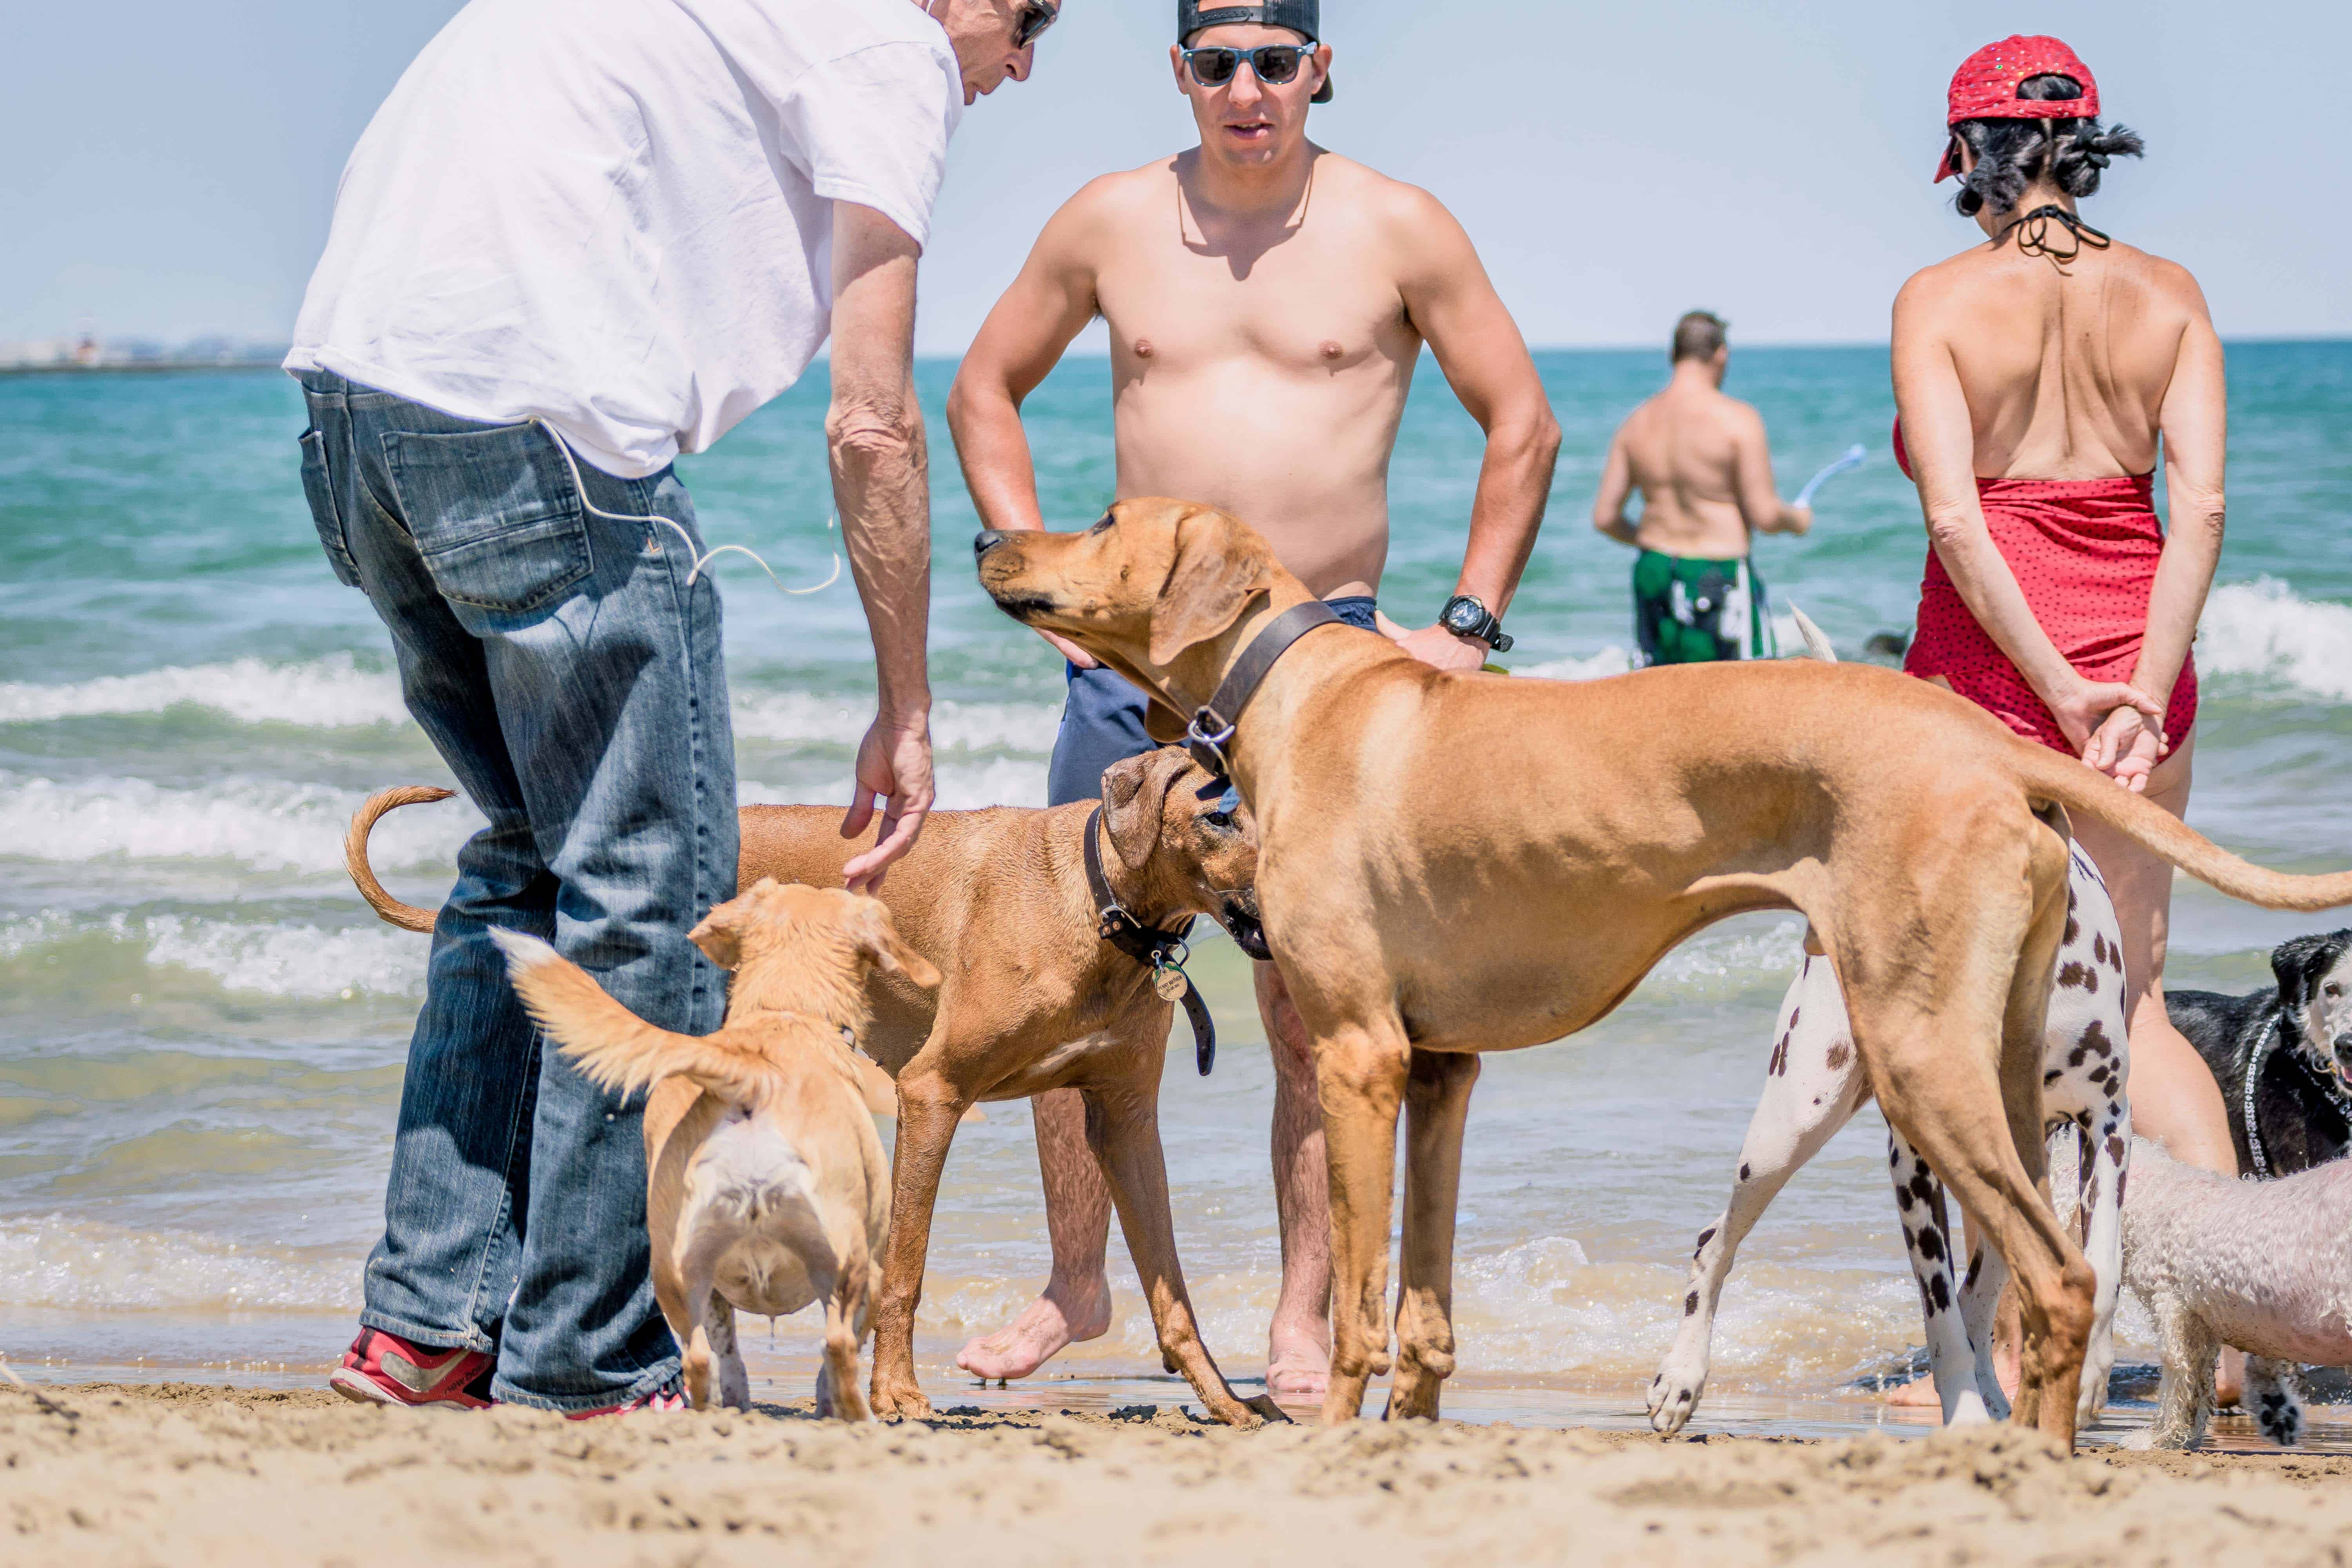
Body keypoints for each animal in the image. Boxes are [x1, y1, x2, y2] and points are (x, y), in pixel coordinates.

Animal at [494, 884, 936, 1420]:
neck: (781, 1016)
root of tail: (755, 1075)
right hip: (854, 1263)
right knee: (837, 1346)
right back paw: (854, 1418)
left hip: (680, 1272)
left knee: (702, 1358)